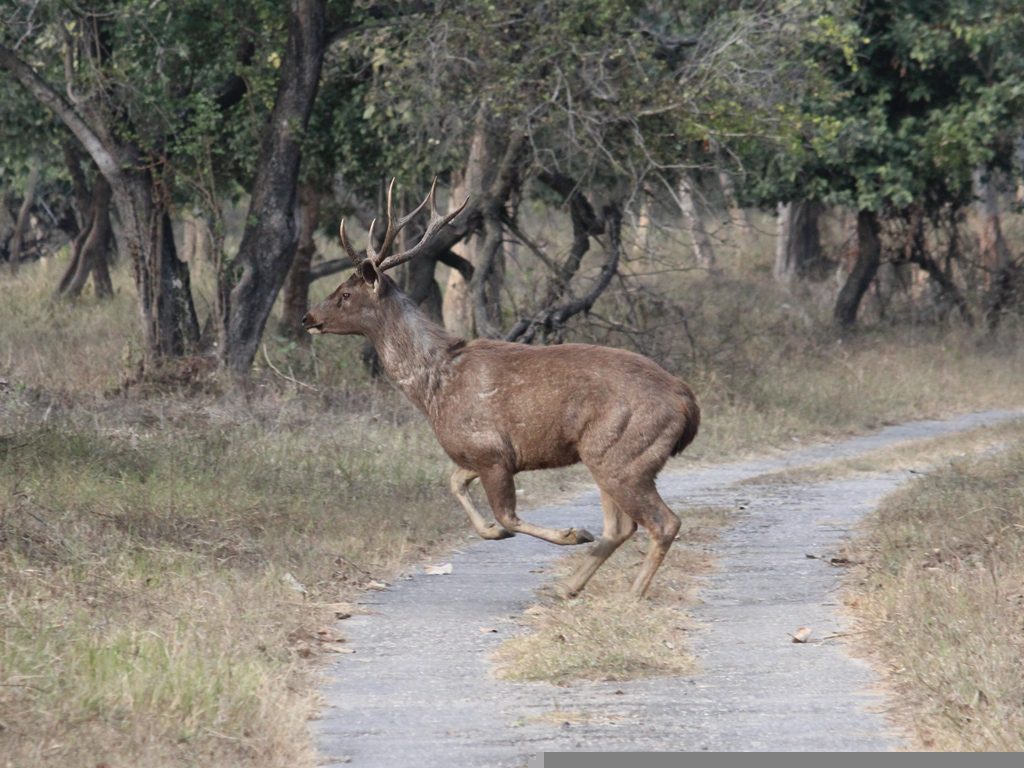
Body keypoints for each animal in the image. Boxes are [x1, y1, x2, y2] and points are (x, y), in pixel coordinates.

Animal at [302, 180, 700, 598]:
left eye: (345, 293)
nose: (308, 317)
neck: (433, 387)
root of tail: (688, 404)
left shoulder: (491, 451)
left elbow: (507, 515)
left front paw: (570, 533)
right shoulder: (474, 452)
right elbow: (455, 484)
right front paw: (495, 532)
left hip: (623, 453)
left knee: (663, 522)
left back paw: (631, 593)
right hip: (609, 456)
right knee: (622, 526)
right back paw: (570, 587)